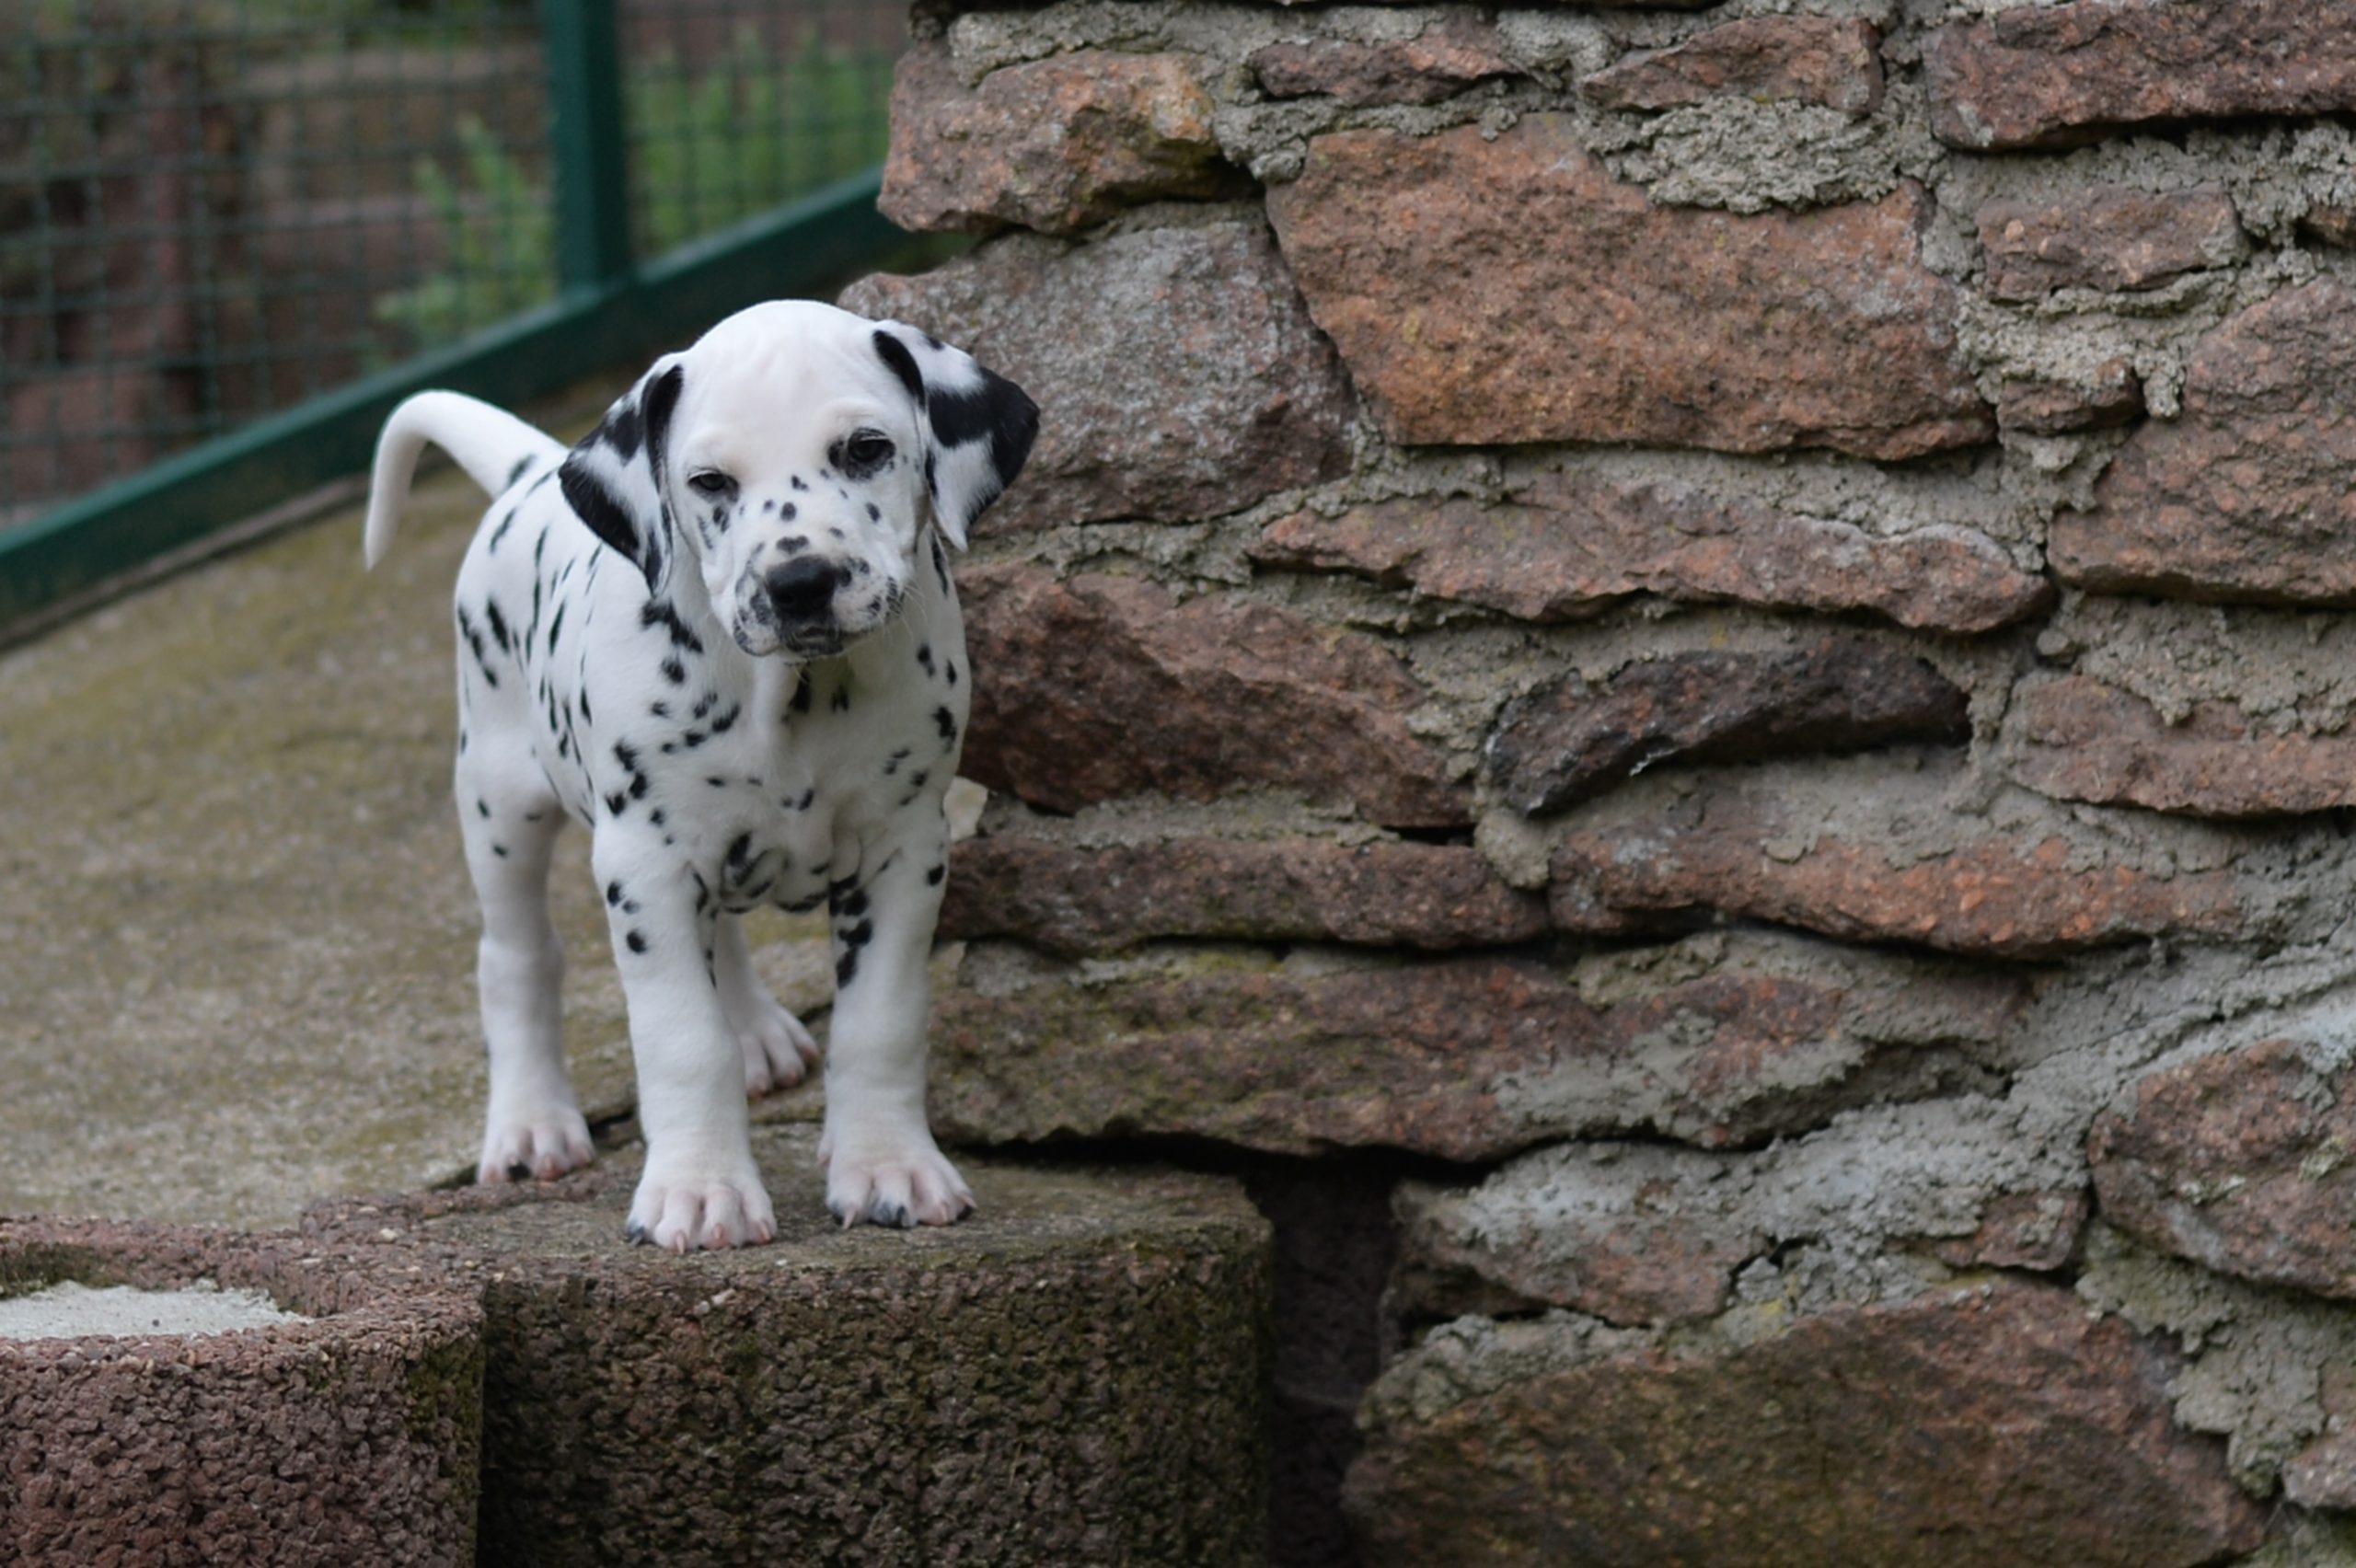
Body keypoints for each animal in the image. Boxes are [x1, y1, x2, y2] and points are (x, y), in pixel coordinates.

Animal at [361, 299, 1037, 1250]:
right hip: (499, 803)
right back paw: (531, 1124)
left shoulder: (905, 852)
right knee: (516, 957)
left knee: (717, 930)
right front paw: (700, 1188)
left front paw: (886, 1165)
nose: (799, 581)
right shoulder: (643, 866)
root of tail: (530, 473)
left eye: (866, 449)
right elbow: (683, 1039)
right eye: (711, 481)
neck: (793, 695)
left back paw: (755, 1033)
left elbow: (881, 1022)